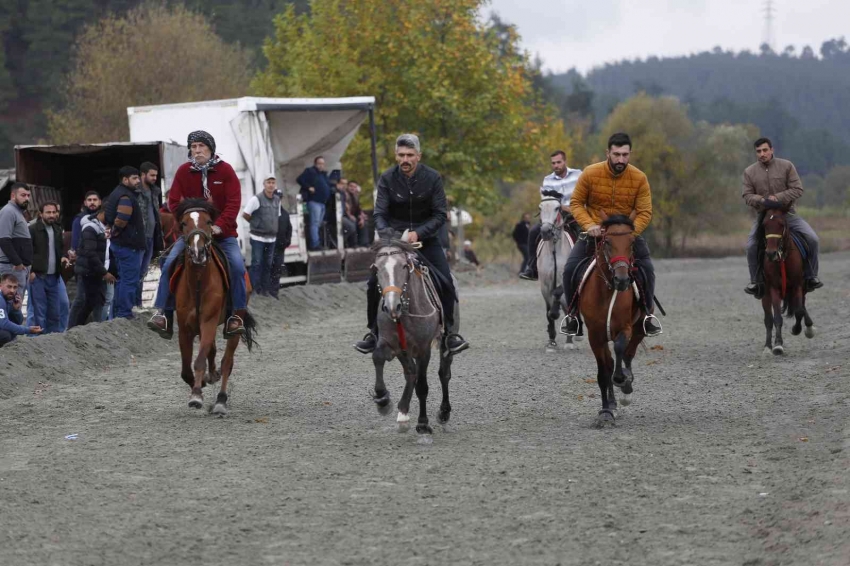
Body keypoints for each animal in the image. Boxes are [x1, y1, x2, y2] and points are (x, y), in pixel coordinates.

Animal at [171, 202, 253, 414]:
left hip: (234, 325)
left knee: (227, 362)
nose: (198, 252)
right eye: (183, 223)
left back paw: (220, 401)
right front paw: (198, 386)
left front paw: (197, 396)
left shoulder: (208, 322)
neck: (198, 282)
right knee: (213, 352)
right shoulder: (185, 328)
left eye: (208, 222)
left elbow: (199, 360)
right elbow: (185, 370)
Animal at [370, 235, 454, 444]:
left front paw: (422, 424)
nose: (392, 306)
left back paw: (443, 413)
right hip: (405, 351)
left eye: (403, 266)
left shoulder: (424, 349)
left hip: (445, 342)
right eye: (377, 268)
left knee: (444, 374)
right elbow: (378, 357)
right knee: (411, 373)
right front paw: (383, 400)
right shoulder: (393, 345)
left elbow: (422, 386)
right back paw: (403, 413)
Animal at [536, 197, 576, 352]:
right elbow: (548, 311)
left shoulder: (564, 280)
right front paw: (551, 340)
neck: (554, 250)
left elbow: (558, 296)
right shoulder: (545, 285)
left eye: (557, 208)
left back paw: (571, 337)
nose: (546, 231)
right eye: (540, 208)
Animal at [576, 215, 644, 428]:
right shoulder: (595, 336)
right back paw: (613, 403)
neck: (607, 292)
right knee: (610, 362)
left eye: (631, 243)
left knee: (628, 354)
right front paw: (605, 412)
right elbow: (603, 373)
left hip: (639, 328)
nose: (622, 280)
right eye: (607, 242)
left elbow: (621, 348)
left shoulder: (625, 328)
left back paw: (626, 385)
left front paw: (622, 378)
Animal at [760, 211, 812, 358]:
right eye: (764, 225)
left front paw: (797, 329)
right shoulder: (774, 289)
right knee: (768, 320)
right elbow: (777, 318)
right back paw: (767, 347)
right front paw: (778, 345)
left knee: (801, 307)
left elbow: (799, 310)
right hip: (765, 295)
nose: (770, 253)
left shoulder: (798, 286)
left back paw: (808, 327)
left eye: (781, 225)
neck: (783, 258)